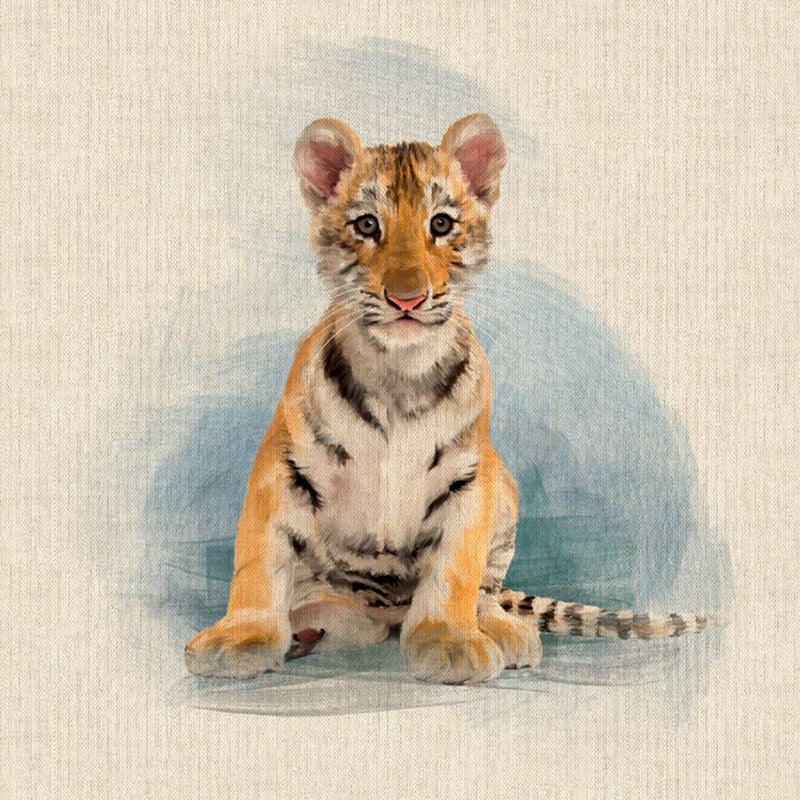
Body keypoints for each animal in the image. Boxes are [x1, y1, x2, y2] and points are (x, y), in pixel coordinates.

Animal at [184, 114, 721, 684]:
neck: (399, 373)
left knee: (485, 593)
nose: (407, 298)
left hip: (502, 484)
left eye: (440, 224)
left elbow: (455, 570)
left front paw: (449, 642)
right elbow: (259, 560)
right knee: (352, 617)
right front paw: (241, 638)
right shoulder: (283, 465)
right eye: (367, 226)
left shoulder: (467, 477)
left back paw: (509, 633)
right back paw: (306, 629)